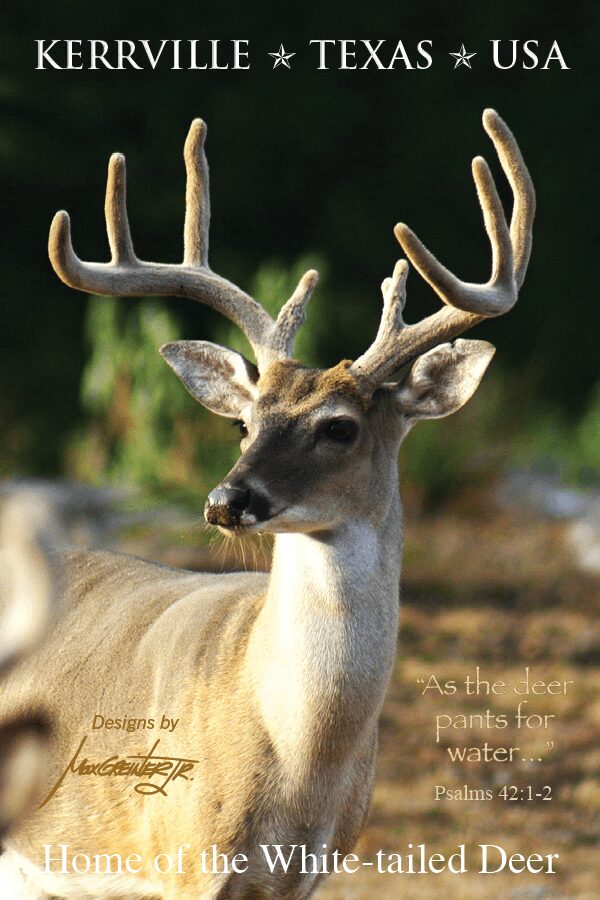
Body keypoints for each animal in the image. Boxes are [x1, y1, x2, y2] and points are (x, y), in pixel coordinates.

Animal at [0, 112, 536, 900]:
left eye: (339, 427)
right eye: (243, 424)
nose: (225, 500)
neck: (302, 761)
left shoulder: (310, 872)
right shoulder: (183, 858)